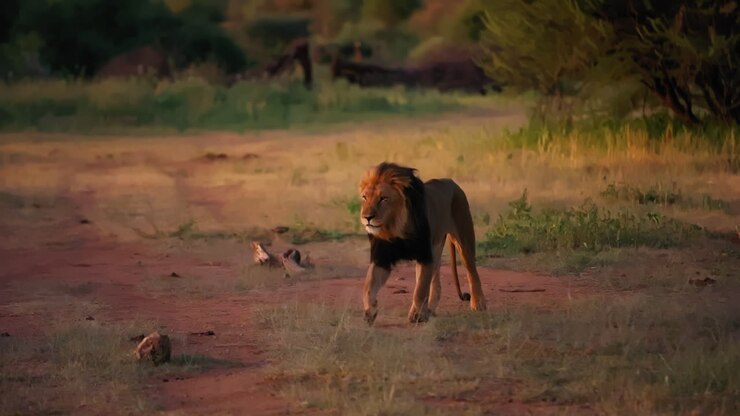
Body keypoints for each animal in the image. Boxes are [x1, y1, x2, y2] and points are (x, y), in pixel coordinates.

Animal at [359, 162, 487, 324]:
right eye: (364, 197)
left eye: (383, 198)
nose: (367, 217)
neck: (395, 227)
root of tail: (451, 182)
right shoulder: (382, 258)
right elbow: (368, 285)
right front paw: (370, 310)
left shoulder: (424, 255)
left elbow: (420, 289)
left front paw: (417, 315)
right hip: (436, 248)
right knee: (436, 282)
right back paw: (430, 310)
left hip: (464, 238)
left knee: (472, 273)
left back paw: (478, 304)